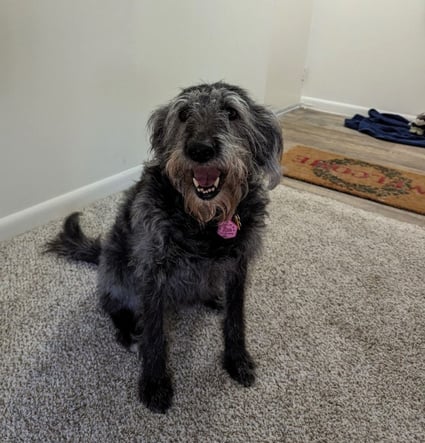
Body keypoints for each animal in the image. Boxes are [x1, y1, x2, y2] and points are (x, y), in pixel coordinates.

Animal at [47, 81, 282, 414]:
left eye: (231, 112)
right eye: (183, 114)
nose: (200, 150)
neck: (203, 220)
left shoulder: (239, 264)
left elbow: (236, 318)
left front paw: (237, 360)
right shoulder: (152, 270)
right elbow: (155, 334)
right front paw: (155, 383)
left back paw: (212, 296)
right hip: (117, 271)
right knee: (111, 304)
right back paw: (127, 329)